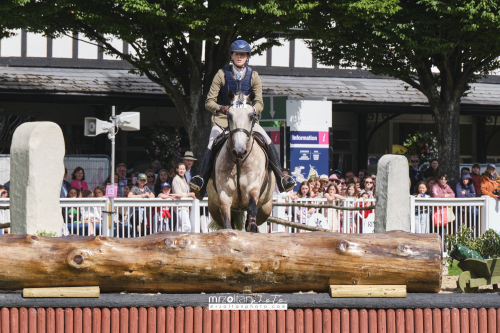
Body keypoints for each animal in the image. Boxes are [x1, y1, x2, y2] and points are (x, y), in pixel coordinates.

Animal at [207, 89, 278, 232]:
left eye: (251, 116)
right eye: (229, 115)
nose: (239, 150)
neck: (239, 162)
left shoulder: (253, 188)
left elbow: (252, 211)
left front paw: (252, 228)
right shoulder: (224, 194)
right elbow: (227, 224)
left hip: (266, 208)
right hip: (213, 208)